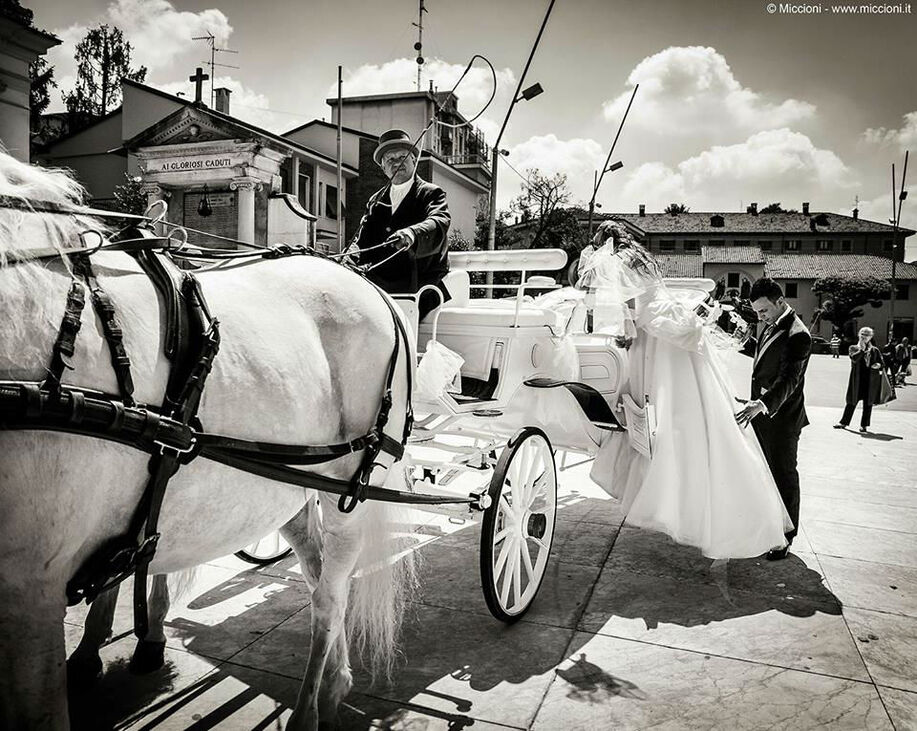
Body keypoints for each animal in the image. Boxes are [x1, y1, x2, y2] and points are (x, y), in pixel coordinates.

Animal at [0, 152, 416, 728]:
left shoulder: (30, 591)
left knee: (331, 595)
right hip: (284, 486)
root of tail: (366, 283)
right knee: (317, 575)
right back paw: (336, 681)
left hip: (351, 491)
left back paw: (311, 706)